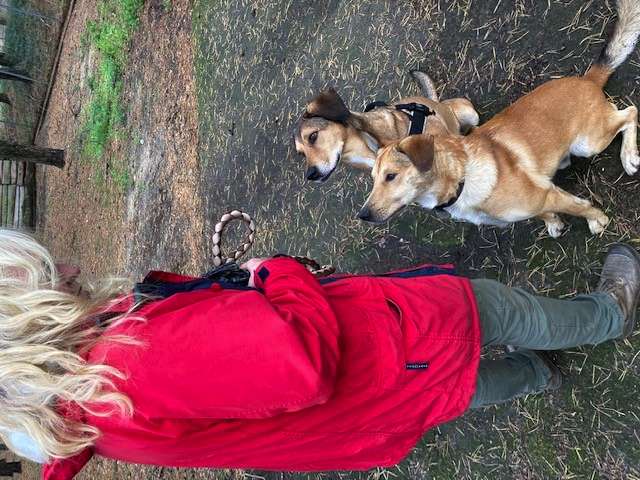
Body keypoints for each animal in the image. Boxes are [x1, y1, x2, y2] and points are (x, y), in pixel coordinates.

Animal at [294, 71, 479, 183]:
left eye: (313, 136)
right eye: (301, 154)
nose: (310, 175)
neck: (370, 147)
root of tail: (434, 101)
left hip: (470, 114)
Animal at [359, 0, 640, 238]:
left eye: (391, 176)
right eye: (373, 178)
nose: (363, 215)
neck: (462, 178)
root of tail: (587, 79)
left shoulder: (548, 195)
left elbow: (580, 207)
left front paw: (596, 220)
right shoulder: (541, 198)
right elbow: (544, 213)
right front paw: (552, 222)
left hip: (588, 143)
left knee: (629, 113)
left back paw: (628, 157)